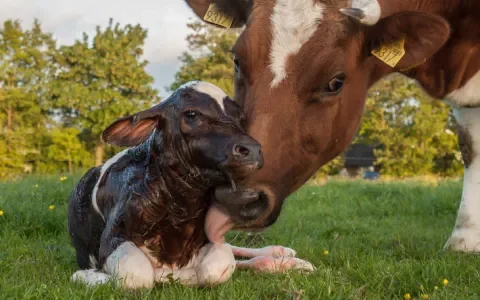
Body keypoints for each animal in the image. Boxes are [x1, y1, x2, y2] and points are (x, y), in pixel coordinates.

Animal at [67, 81, 316, 290]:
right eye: (191, 114)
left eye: (240, 119)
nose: (253, 150)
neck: (180, 208)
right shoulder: (113, 237)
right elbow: (138, 275)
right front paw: (88, 275)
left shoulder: (211, 239)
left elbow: (219, 265)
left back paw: (285, 256)